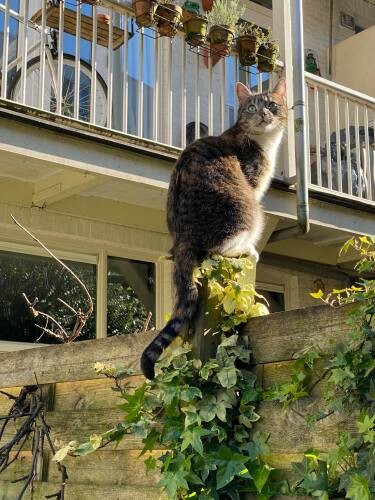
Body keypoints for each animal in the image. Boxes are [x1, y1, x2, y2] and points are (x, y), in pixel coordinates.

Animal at [141, 79, 288, 378]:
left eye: (271, 104)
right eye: (251, 107)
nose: (262, 114)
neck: (263, 142)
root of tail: (182, 238)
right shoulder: (253, 185)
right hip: (247, 210)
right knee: (219, 247)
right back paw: (248, 249)